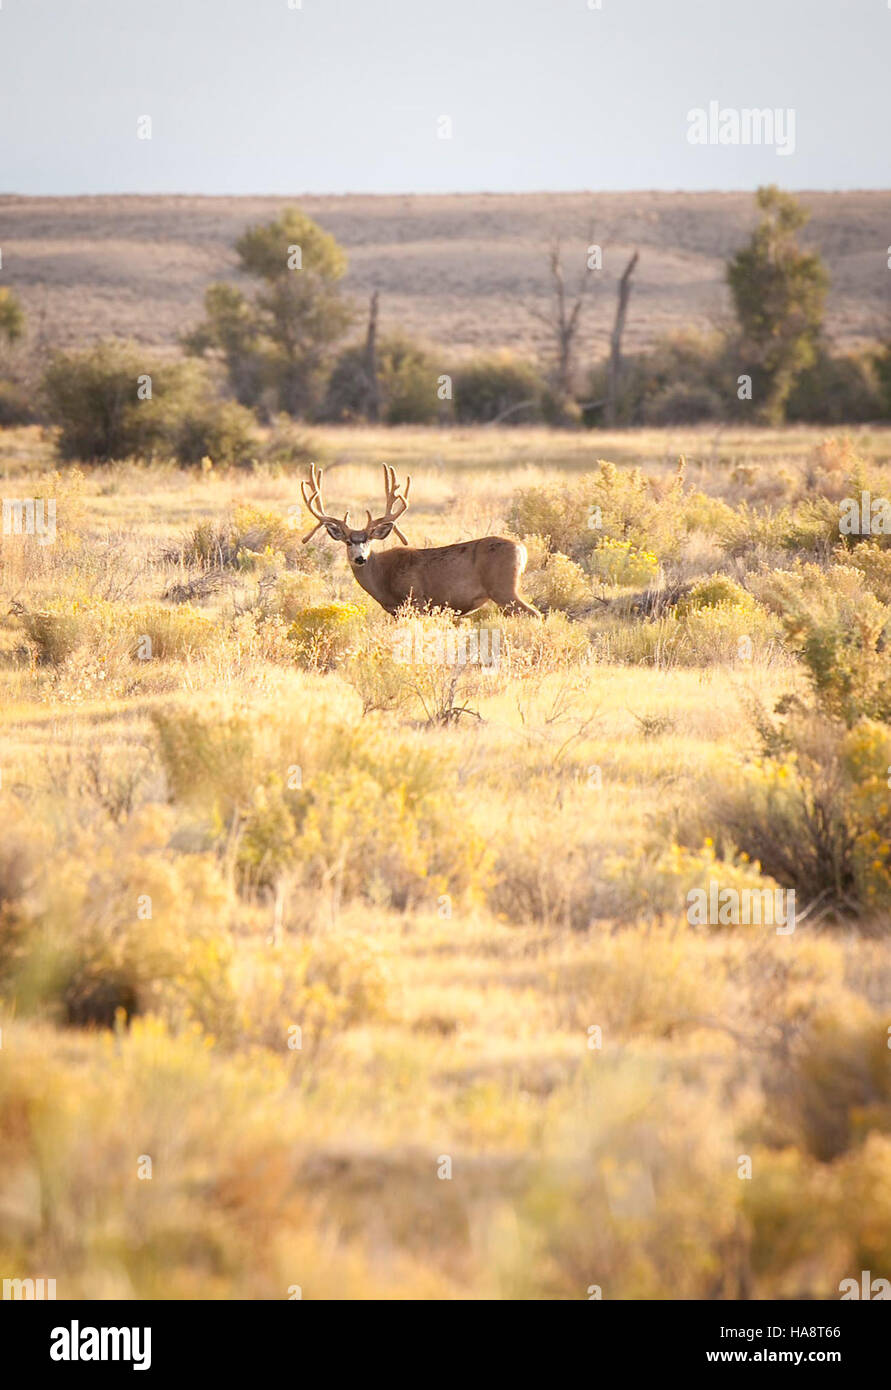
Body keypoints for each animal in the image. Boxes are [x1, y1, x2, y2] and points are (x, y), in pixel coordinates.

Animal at [300, 464, 542, 617]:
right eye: (348, 542)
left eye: (369, 540)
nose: (360, 558)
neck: (383, 577)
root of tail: (522, 549)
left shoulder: (416, 599)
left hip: (504, 588)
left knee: (534, 614)